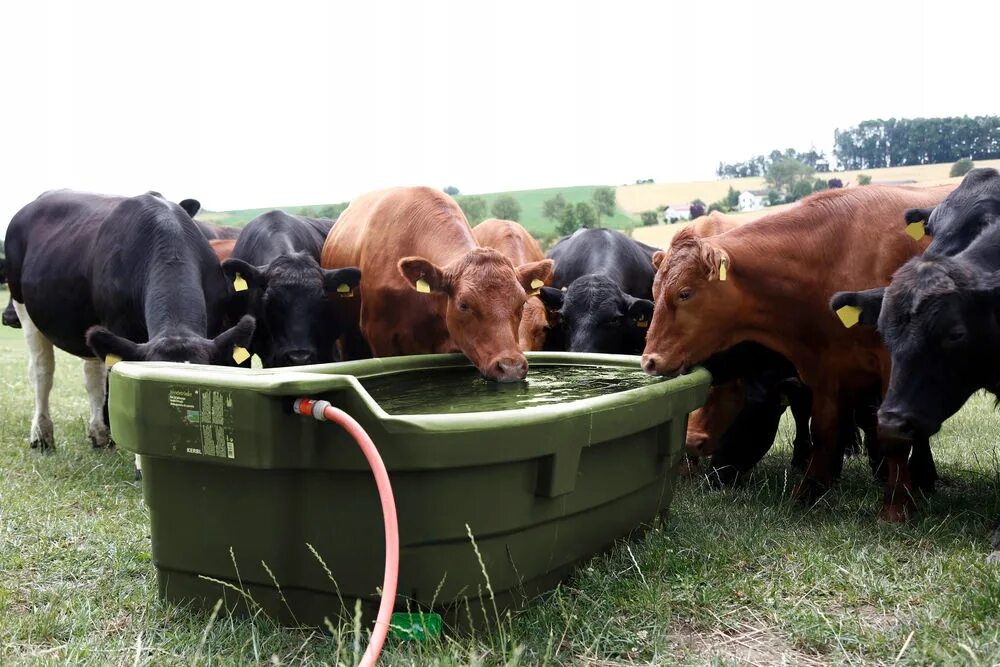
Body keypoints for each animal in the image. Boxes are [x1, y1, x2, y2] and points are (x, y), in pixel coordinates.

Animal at [4, 193, 254, 454]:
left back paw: (99, 434)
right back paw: (42, 435)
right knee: (42, 371)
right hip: (24, 307)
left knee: (92, 374)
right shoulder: (121, 330)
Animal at [640, 185, 952, 520]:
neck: (833, 258)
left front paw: (896, 505)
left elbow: (891, 437)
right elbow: (824, 431)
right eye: (654, 293)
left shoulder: (891, 365)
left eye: (684, 293)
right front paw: (807, 493)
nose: (650, 360)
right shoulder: (828, 366)